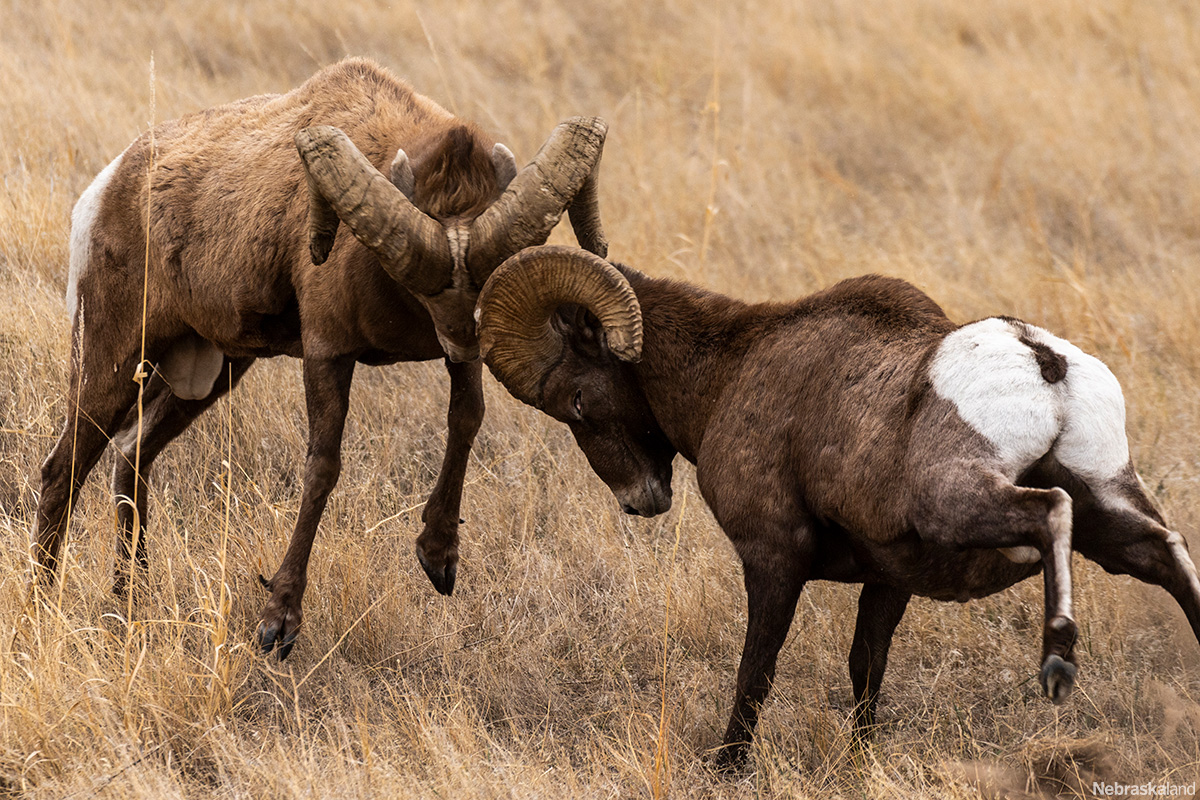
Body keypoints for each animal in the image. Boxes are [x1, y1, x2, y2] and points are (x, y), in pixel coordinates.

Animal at [33, 58, 609, 659]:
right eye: (419, 286)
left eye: (481, 283)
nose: (463, 340)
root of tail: (103, 192)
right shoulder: (327, 352)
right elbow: (323, 468)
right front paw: (278, 624)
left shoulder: (455, 363)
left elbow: (466, 419)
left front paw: (438, 558)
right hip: (113, 363)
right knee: (61, 474)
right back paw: (42, 609)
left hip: (214, 375)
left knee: (130, 455)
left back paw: (129, 606)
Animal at [473, 244, 1200, 767]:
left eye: (574, 400)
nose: (639, 501)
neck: (730, 368)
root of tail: (1042, 361)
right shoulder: (888, 579)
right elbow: (865, 667)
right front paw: (860, 757)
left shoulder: (772, 558)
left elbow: (757, 668)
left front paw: (728, 764)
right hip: (1108, 507)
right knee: (1165, 549)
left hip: (961, 503)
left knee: (1052, 509)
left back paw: (1057, 660)